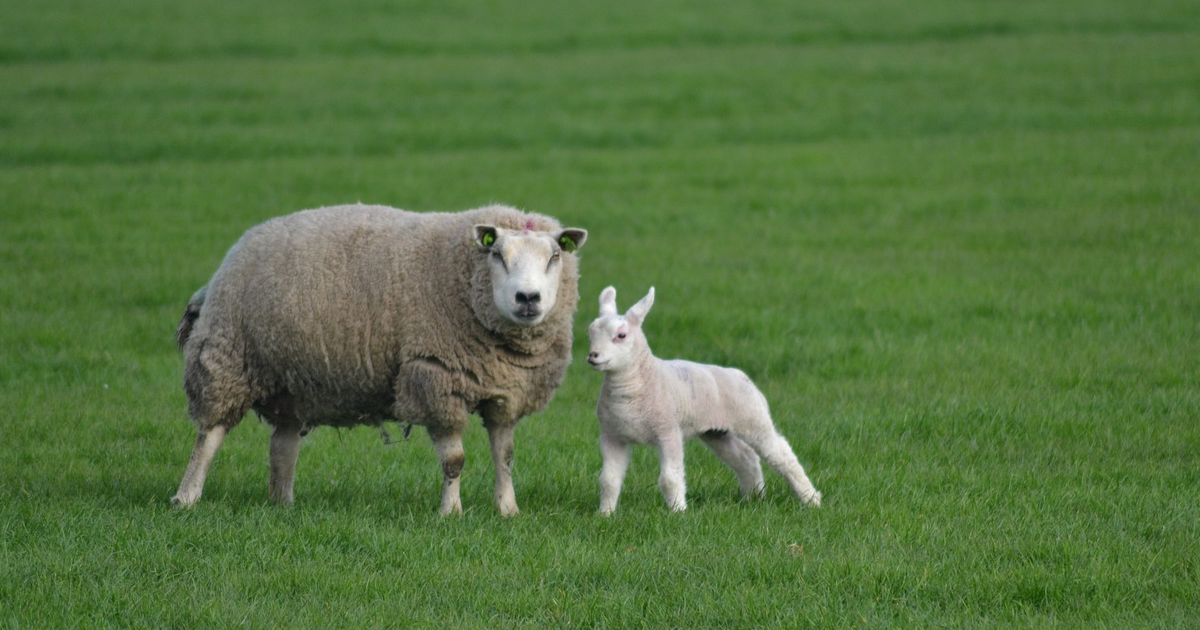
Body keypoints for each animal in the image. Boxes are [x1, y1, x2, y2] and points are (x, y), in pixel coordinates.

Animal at [170, 204, 590, 513]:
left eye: (554, 256)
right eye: (498, 255)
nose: (528, 298)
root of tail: (226, 264)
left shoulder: (506, 391)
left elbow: (505, 455)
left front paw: (507, 510)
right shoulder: (433, 378)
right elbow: (454, 460)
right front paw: (450, 512)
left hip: (291, 380)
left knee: (283, 444)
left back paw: (282, 503)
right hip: (227, 358)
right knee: (209, 435)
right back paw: (186, 497)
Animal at [583, 286, 825, 513]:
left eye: (621, 335)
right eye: (590, 333)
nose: (593, 356)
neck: (634, 387)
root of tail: (740, 375)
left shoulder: (668, 432)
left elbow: (670, 479)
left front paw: (678, 511)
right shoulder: (613, 436)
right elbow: (608, 480)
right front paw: (605, 514)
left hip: (753, 419)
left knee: (783, 455)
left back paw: (811, 499)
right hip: (717, 432)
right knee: (745, 458)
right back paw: (754, 497)